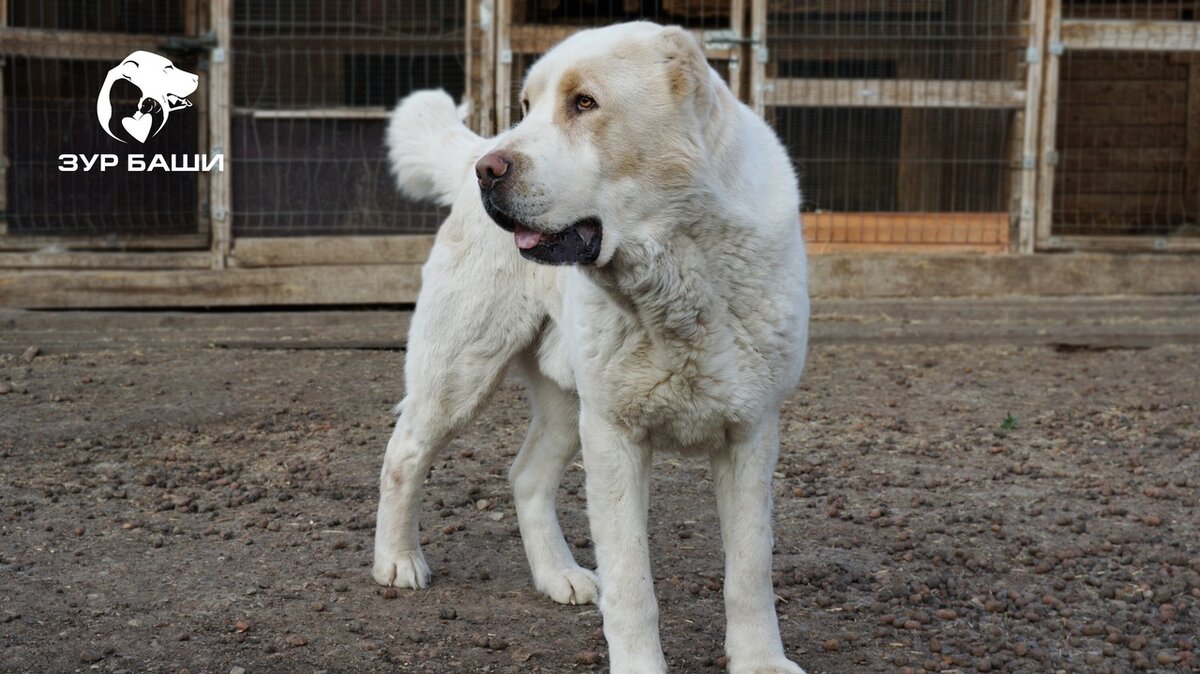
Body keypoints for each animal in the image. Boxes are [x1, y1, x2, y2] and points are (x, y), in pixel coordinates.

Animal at [372, 22, 806, 671]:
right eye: (527, 106)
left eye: (584, 103)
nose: (487, 171)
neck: (676, 280)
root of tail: (477, 143)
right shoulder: (614, 436)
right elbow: (632, 585)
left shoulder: (751, 434)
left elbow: (750, 571)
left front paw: (760, 660)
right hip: (460, 373)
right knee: (403, 456)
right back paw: (397, 561)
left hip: (565, 402)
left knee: (525, 476)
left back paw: (557, 575)